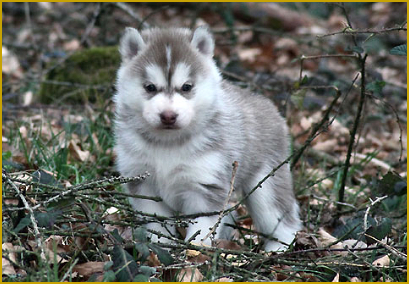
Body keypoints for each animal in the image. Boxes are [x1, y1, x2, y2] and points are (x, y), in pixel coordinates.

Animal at [113, 25, 302, 250]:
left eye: (186, 87)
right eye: (150, 87)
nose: (168, 116)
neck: (168, 143)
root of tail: (268, 104)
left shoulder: (205, 186)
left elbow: (202, 228)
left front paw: (195, 252)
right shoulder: (143, 183)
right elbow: (157, 224)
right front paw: (161, 248)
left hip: (266, 185)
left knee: (283, 219)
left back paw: (276, 249)